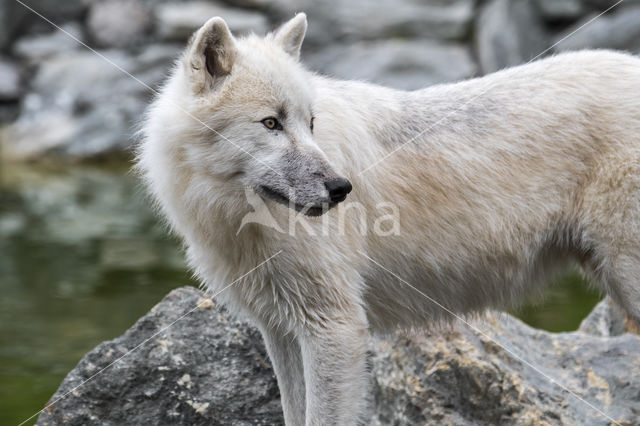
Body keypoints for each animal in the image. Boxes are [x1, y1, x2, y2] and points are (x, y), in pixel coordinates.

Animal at [138, 13, 640, 426]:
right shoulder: (280, 330)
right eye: (271, 123)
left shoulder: (334, 328)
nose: (341, 188)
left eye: (310, 123)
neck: (239, 221)